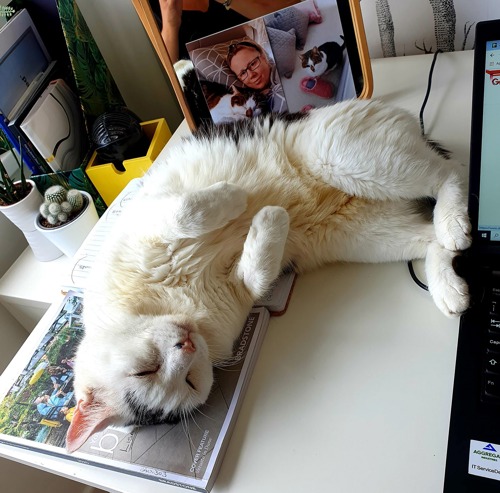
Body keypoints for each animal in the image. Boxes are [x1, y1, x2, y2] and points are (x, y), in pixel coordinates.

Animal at [64, 98, 470, 452]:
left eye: (143, 371)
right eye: (190, 382)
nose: (187, 344)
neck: (176, 305)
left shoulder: (147, 215)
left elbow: (185, 212)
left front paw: (237, 198)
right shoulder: (242, 290)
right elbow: (257, 276)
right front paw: (271, 217)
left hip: (345, 157)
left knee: (449, 172)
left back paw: (455, 222)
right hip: (362, 235)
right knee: (432, 237)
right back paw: (449, 287)